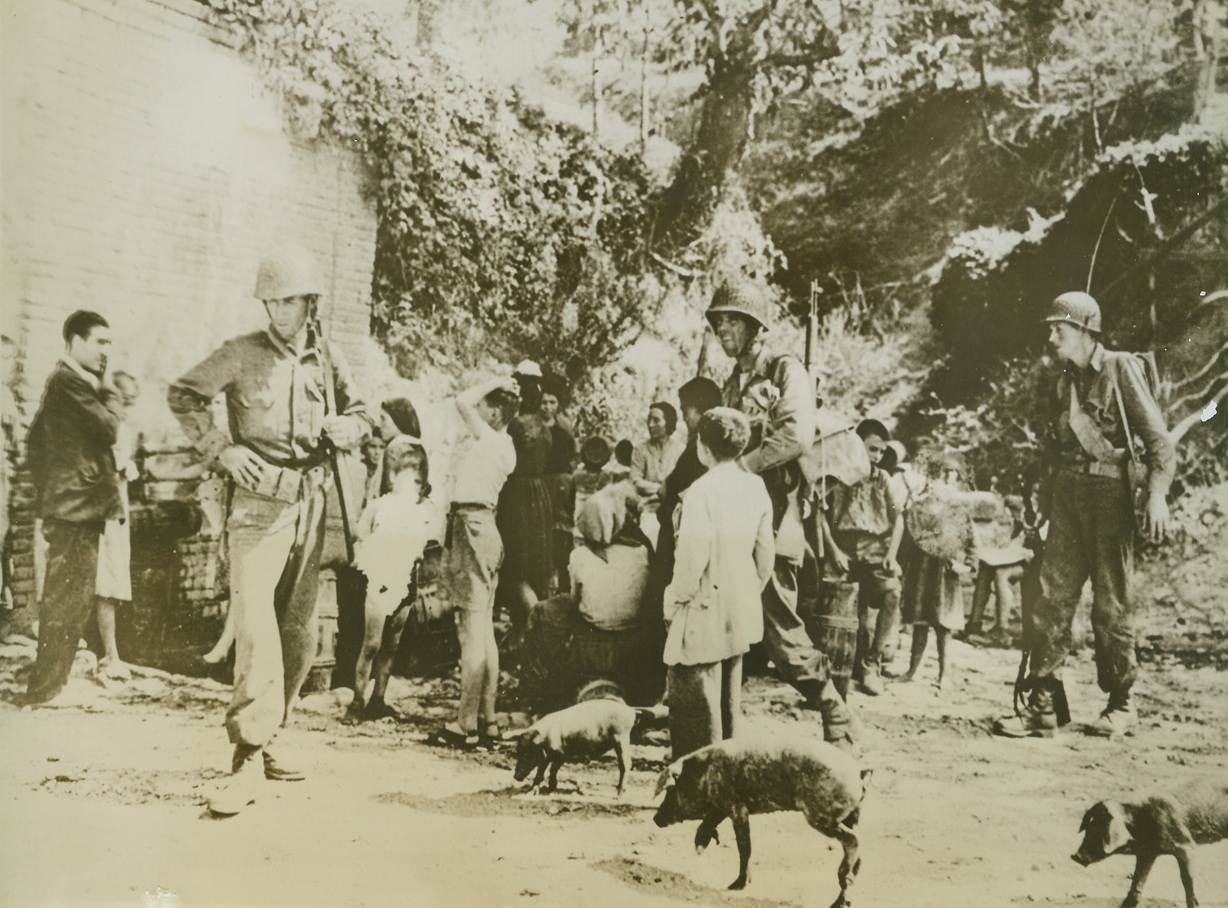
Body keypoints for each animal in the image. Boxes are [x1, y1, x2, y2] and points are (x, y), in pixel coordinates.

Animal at [658, 737, 869, 904]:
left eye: (671, 789)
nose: (655, 818)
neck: (703, 773)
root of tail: (858, 770)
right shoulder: (723, 806)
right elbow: (710, 820)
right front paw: (699, 848)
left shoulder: (736, 807)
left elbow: (744, 847)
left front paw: (735, 886)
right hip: (852, 815)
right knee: (858, 854)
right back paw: (841, 900)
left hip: (820, 816)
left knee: (854, 840)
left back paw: (840, 887)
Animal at [1070, 776, 1228, 908]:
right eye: (1087, 829)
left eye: (1099, 830)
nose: (1075, 856)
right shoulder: (1147, 852)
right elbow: (1137, 881)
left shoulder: (1186, 844)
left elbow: (1187, 880)